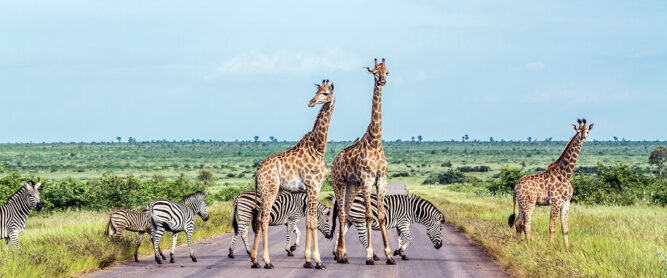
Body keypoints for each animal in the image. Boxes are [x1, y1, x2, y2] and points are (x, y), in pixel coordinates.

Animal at [249, 78, 336, 270]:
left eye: (325, 93)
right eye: (318, 92)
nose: (311, 102)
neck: (318, 149)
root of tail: (257, 172)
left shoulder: (311, 189)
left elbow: (309, 221)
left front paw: (308, 260)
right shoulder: (314, 186)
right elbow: (312, 222)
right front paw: (317, 261)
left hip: (272, 191)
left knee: (258, 218)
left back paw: (255, 260)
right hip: (270, 190)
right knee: (264, 219)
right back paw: (267, 261)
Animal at [330, 58, 396, 264]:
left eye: (387, 72)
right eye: (374, 72)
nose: (382, 81)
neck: (375, 141)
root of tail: (334, 161)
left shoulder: (381, 179)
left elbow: (381, 216)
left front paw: (389, 255)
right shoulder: (367, 179)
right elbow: (368, 216)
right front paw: (369, 255)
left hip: (353, 185)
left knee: (345, 212)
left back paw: (340, 254)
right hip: (339, 182)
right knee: (342, 214)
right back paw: (342, 254)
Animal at [508, 118, 596, 248]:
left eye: (587, 131)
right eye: (578, 131)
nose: (583, 138)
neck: (566, 174)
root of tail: (516, 186)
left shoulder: (566, 202)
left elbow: (565, 228)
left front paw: (566, 248)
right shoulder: (555, 201)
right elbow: (552, 227)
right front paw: (550, 246)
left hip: (521, 203)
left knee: (518, 222)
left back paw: (519, 243)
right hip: (529, 202)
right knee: (526, 224)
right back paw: (528, 244)